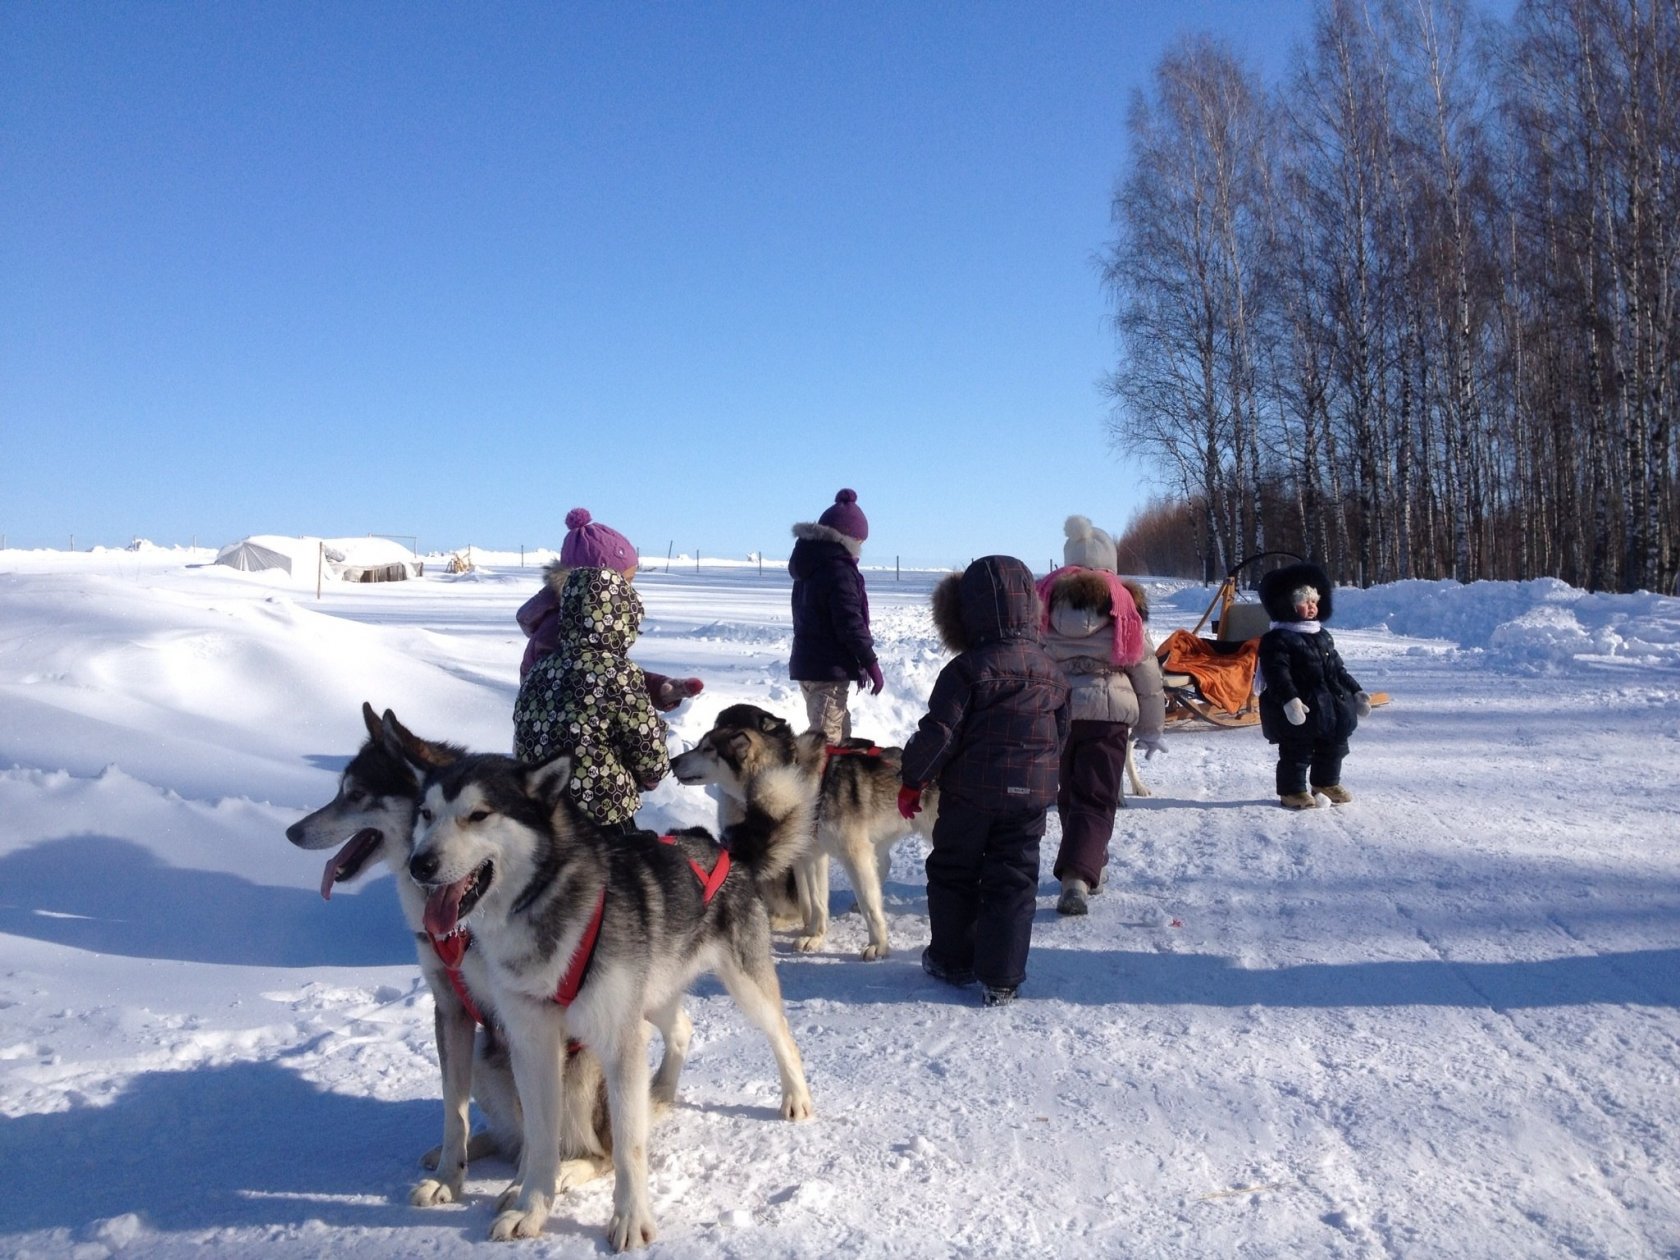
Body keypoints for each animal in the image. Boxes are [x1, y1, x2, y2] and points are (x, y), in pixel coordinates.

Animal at [285, 705, 621, 1209]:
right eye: (340, 790)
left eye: (357, 794)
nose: (291, 832)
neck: (463, 929)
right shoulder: (450, 1009)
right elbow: (453, 1110)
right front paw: (449, 1176)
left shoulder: (526, 1024)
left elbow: (538, 1120)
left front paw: (522, 1190)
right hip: (483, 1058)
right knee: (506, 1131)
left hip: (581, 1073)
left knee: (601, 1151)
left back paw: (566, 1169)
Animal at [394, 735, 813, 1249]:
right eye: (426, 814)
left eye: (478, 814)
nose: (419, 864)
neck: (545, 902)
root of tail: (721, 848)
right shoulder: (530, 1042)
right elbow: (538, 1136)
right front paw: (529, 1208)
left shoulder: (616, 1042)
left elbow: (628, 1148)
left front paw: (630, 1221)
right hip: (643, 1001)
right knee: (681, 1029)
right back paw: (656, 1094)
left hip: (733, 989)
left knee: (779, 1033)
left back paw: (793, 1097)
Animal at [665, 705, 934, 960]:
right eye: (700, 745)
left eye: (708, 749)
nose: (673, 761)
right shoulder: (809, 855)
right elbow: (814, 899)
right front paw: (814, 935)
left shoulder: (853, 854)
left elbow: (869, 903)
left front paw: (878, 945)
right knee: (884, 862)